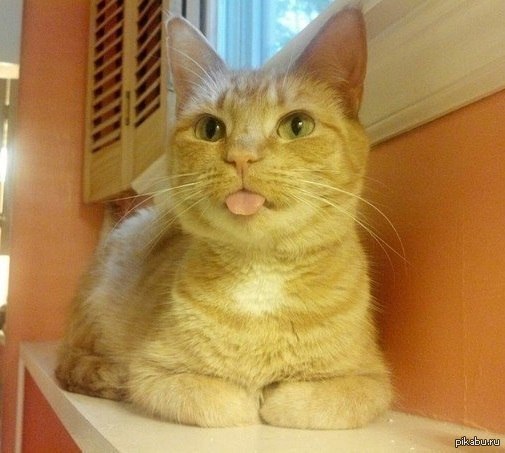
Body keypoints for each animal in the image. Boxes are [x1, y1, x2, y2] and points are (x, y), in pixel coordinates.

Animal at [56, 7, 392, 429]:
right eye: (210, 129)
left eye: (297, 125)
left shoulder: (369, 381)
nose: (241, 156)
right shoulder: (156, 374)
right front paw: (251, 398)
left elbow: (303, 403)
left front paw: (273, 396)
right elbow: (228, 404)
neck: (263, 275)